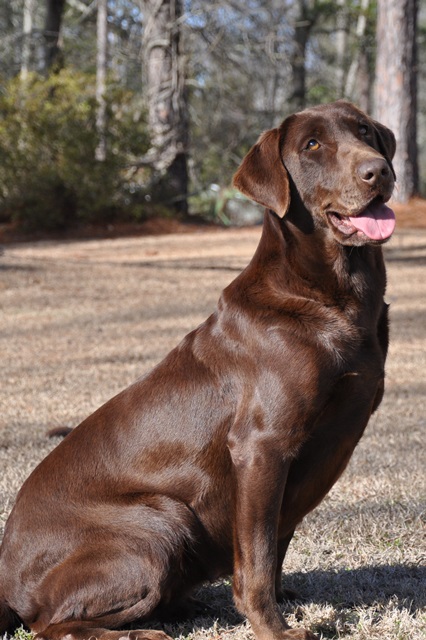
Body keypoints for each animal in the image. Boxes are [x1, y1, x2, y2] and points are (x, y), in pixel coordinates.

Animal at [0, 101, 396, 640]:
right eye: (312, 145)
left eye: (364, 132)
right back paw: (144, 631)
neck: (328, 294)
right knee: (51, 625)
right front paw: (274, 628)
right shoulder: (261, 444)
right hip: (162, 516)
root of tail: (5, 580)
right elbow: (258, 554)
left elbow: (276, 543)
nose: (378, 170)